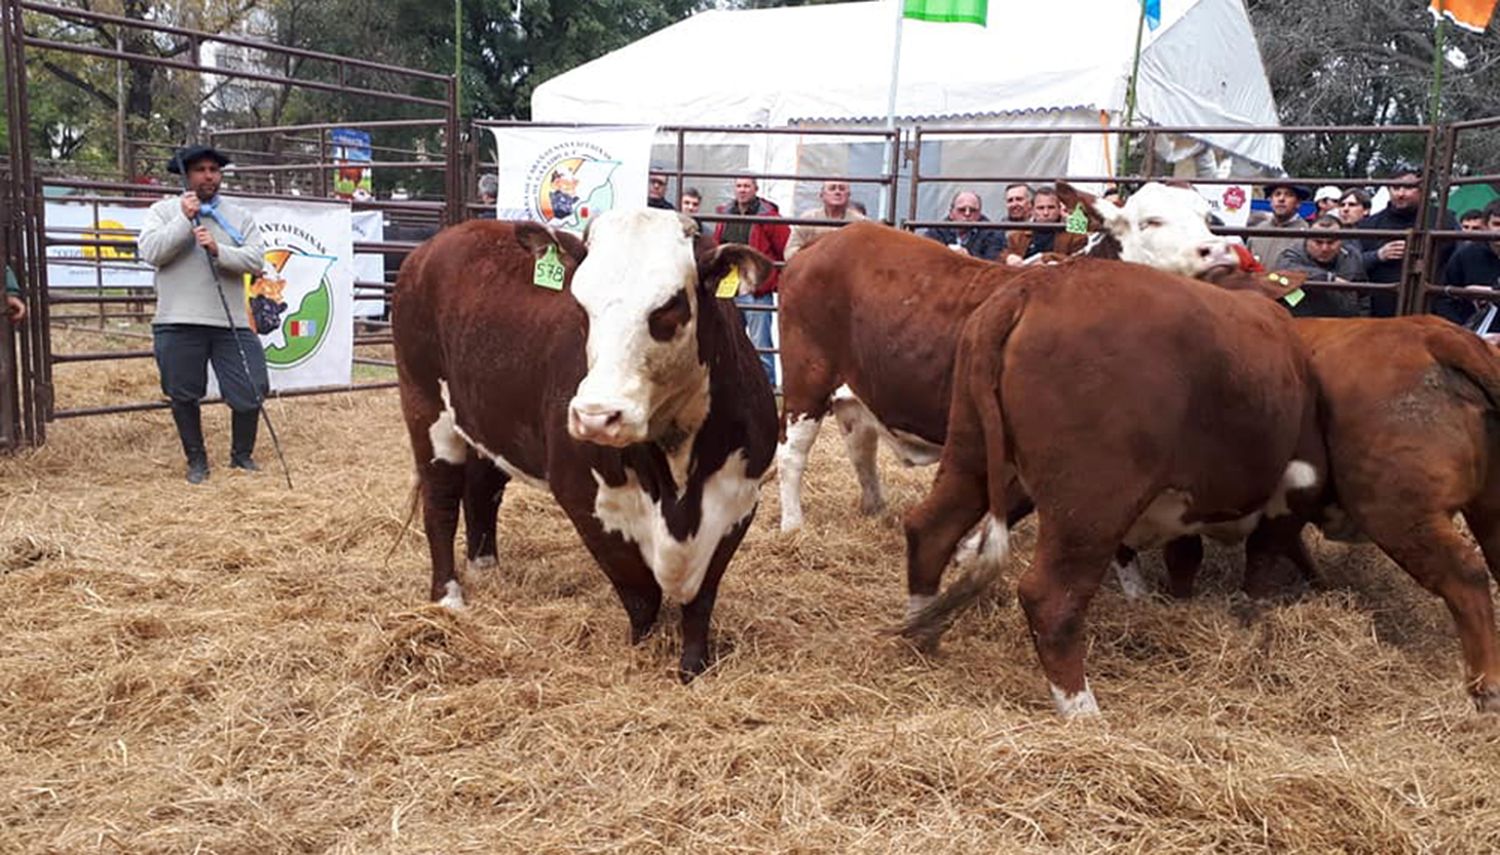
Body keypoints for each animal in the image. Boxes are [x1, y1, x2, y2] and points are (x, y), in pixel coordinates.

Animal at [390, 211, 774, 678]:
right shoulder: (586, 498)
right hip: (425, 407)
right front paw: (642, 650)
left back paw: (485, 568)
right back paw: (449, 595)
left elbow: (701, 597)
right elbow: (639, 590)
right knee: (441, 503)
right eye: (581, 305)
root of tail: (439, 242)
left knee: (482, 489)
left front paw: (692, 665)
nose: (596, 416)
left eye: (670, 306)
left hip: (485, 419)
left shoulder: (738, 498)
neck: (678, 471)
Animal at [894, 256, 1320, 717]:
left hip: (971, 451)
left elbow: (1185, 559)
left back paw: (922, 632)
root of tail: (1035, 285)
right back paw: (1082, 710)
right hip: (1092, 501)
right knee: (1051, 596)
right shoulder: (1289, 496)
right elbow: (1262, 559)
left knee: (931, 529)